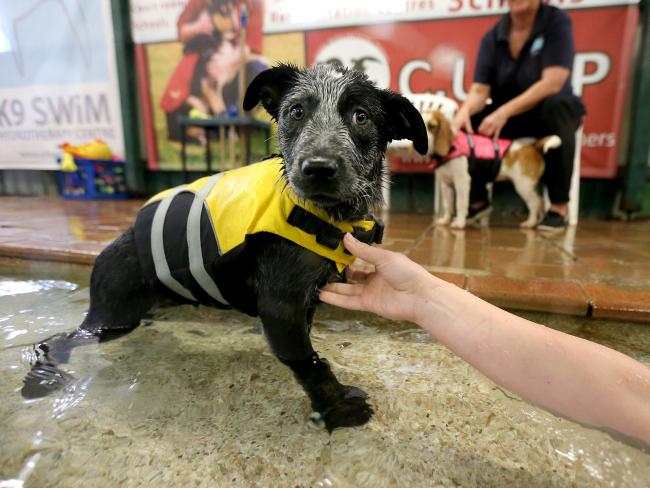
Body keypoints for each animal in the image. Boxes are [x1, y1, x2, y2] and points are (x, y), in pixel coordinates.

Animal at [21, 63, 426, 430]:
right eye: (296, 110)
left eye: (361, 116)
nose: (318, 168)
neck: (323, 215)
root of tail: (108, 250)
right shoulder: (281, 311)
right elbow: (311, 364)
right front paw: (338, 408)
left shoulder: (304, 305)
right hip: (111, 318)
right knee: (55, 342)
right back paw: (41, 379)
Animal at [426, 111, 556, 230]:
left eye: (432, 126)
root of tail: (533, 147)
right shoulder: (446, 184)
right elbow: (448, 205)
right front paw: (446, 220)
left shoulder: (462, 182)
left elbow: (460, 203)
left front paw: (460, 222)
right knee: (540, 201)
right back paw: (537, 221)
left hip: (524, 186)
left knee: (534, 203)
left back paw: (530, 222)